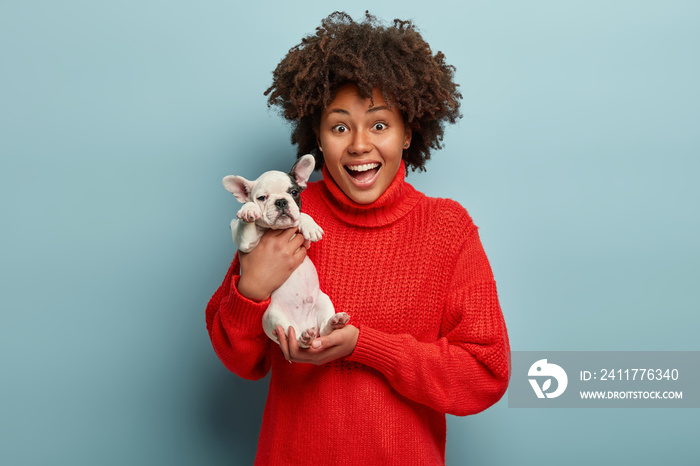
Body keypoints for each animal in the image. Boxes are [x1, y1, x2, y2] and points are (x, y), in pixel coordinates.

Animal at [223, 155, 348, 348]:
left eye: (294, 192)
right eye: (261, 198)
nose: (281, 201)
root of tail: (305, 325)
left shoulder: (304, 243)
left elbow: (301, 216)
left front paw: (310, 226)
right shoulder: (244, 241)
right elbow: (244, 221)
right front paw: (249, 208)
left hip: (323, 300)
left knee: (324, 331)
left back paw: (334, 323)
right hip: (274, 317)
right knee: (295, 340)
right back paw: (305, 338)